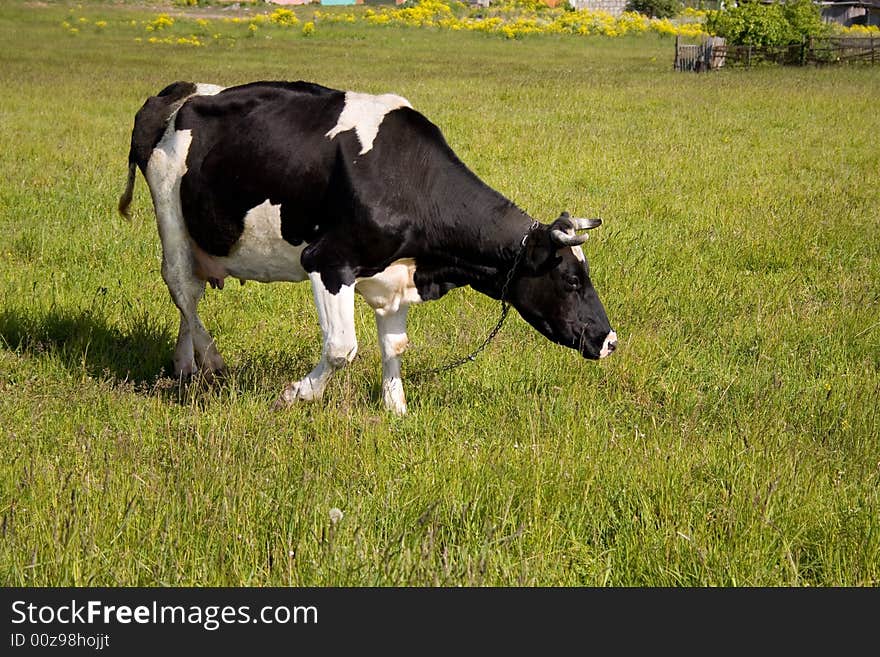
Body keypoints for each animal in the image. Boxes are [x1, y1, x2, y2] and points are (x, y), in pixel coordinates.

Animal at [118, 79, 620, 412]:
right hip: (170, 214)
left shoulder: (394, 276)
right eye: (571, 280)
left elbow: (395, 346)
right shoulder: (327, 261)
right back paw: (213, 364)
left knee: (191, 294)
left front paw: (395, 411)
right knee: (182, 287)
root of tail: (180, 92)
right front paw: (296, 394)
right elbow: (342, 347)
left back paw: (186, 368)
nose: (609, 340)